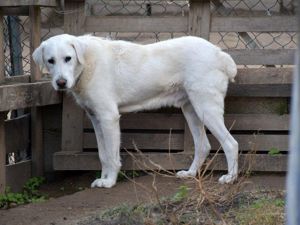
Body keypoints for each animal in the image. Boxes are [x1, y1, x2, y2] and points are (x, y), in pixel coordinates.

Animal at [32, 33, 239, 188]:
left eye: (68, 58)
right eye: (50, 61)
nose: (61, 83)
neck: (87, 64)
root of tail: (219, 53)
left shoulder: (109, 118)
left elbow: (112, 156)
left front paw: (109, 182)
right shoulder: (96, 119)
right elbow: (103, 155)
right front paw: (103, 178)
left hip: (206, 108)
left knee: (231, 143)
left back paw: (230, 178)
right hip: (191, 110)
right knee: (203, 146)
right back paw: (190, 173)